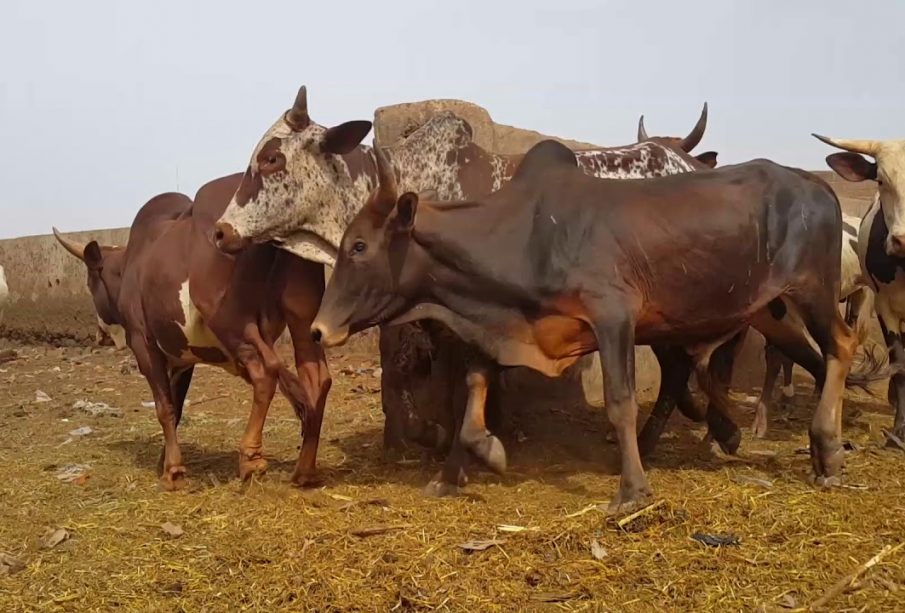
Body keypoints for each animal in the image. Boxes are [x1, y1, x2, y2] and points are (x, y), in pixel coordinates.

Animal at [310, 141, 856, 512]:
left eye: (358, 245)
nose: (318, 330)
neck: (524, 236)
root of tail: (814, 184)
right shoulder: (500, 331)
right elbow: (472, 397)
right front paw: (467, 466)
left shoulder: (613, 315)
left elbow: (619, 401)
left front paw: (632, 490)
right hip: (773, 311)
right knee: (811, 358)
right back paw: (795, 444)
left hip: (812, 292)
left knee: (841, 347)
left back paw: (827, 448)